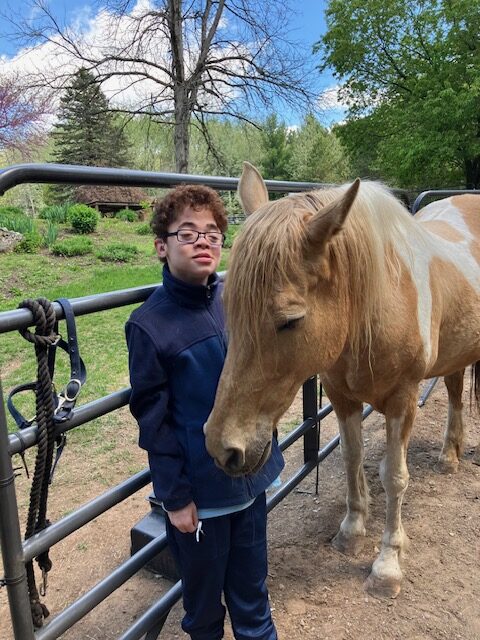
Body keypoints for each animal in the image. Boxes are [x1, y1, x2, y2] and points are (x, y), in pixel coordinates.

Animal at [204, 162, 480, 598]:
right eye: (228, 306)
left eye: (290, 321)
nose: (221, 447)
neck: (378, 305)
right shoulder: (342, 396)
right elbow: (352, 457)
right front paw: (351, 532)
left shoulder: (403, 400)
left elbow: (394, 476)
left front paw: (387, 564)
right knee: (454, 390)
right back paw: (449, 456)